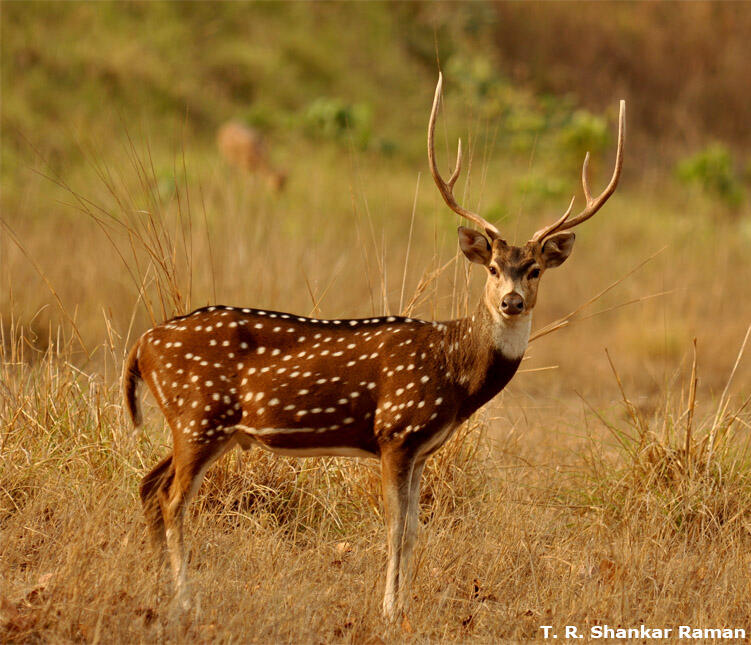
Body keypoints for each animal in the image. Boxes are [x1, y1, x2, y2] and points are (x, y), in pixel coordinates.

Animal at [123, 71, 624, 620]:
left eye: (534, 270)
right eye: (493, 268)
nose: (511, 301)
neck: (453, 371)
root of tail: (141, 345)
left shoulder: (423, 449)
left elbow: (415, 531)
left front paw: (403, 605)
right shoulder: (395, 431)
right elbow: (395, 529)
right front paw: (388, 609)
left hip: (201, 426)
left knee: (149, 485)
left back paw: (158, 588)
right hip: (199, 416)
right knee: (172, 500)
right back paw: (185, 600)